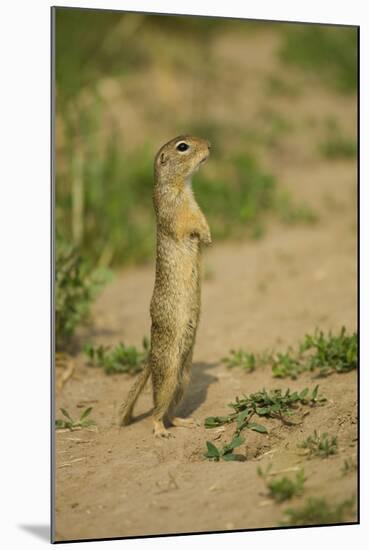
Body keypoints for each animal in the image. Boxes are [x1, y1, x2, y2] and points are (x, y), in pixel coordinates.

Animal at [118, 135, 210, 440]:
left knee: (170, 409)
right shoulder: (176, 211)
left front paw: (208, 236)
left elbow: (202, 218)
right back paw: (160, 430)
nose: (209, 145)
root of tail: (150, 356)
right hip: (169, 371)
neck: (182, 186)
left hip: (184, 376)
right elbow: (188, 223)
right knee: (157, 408)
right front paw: (206, 235)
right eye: (183, 146)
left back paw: (183, 422)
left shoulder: (195, 204)